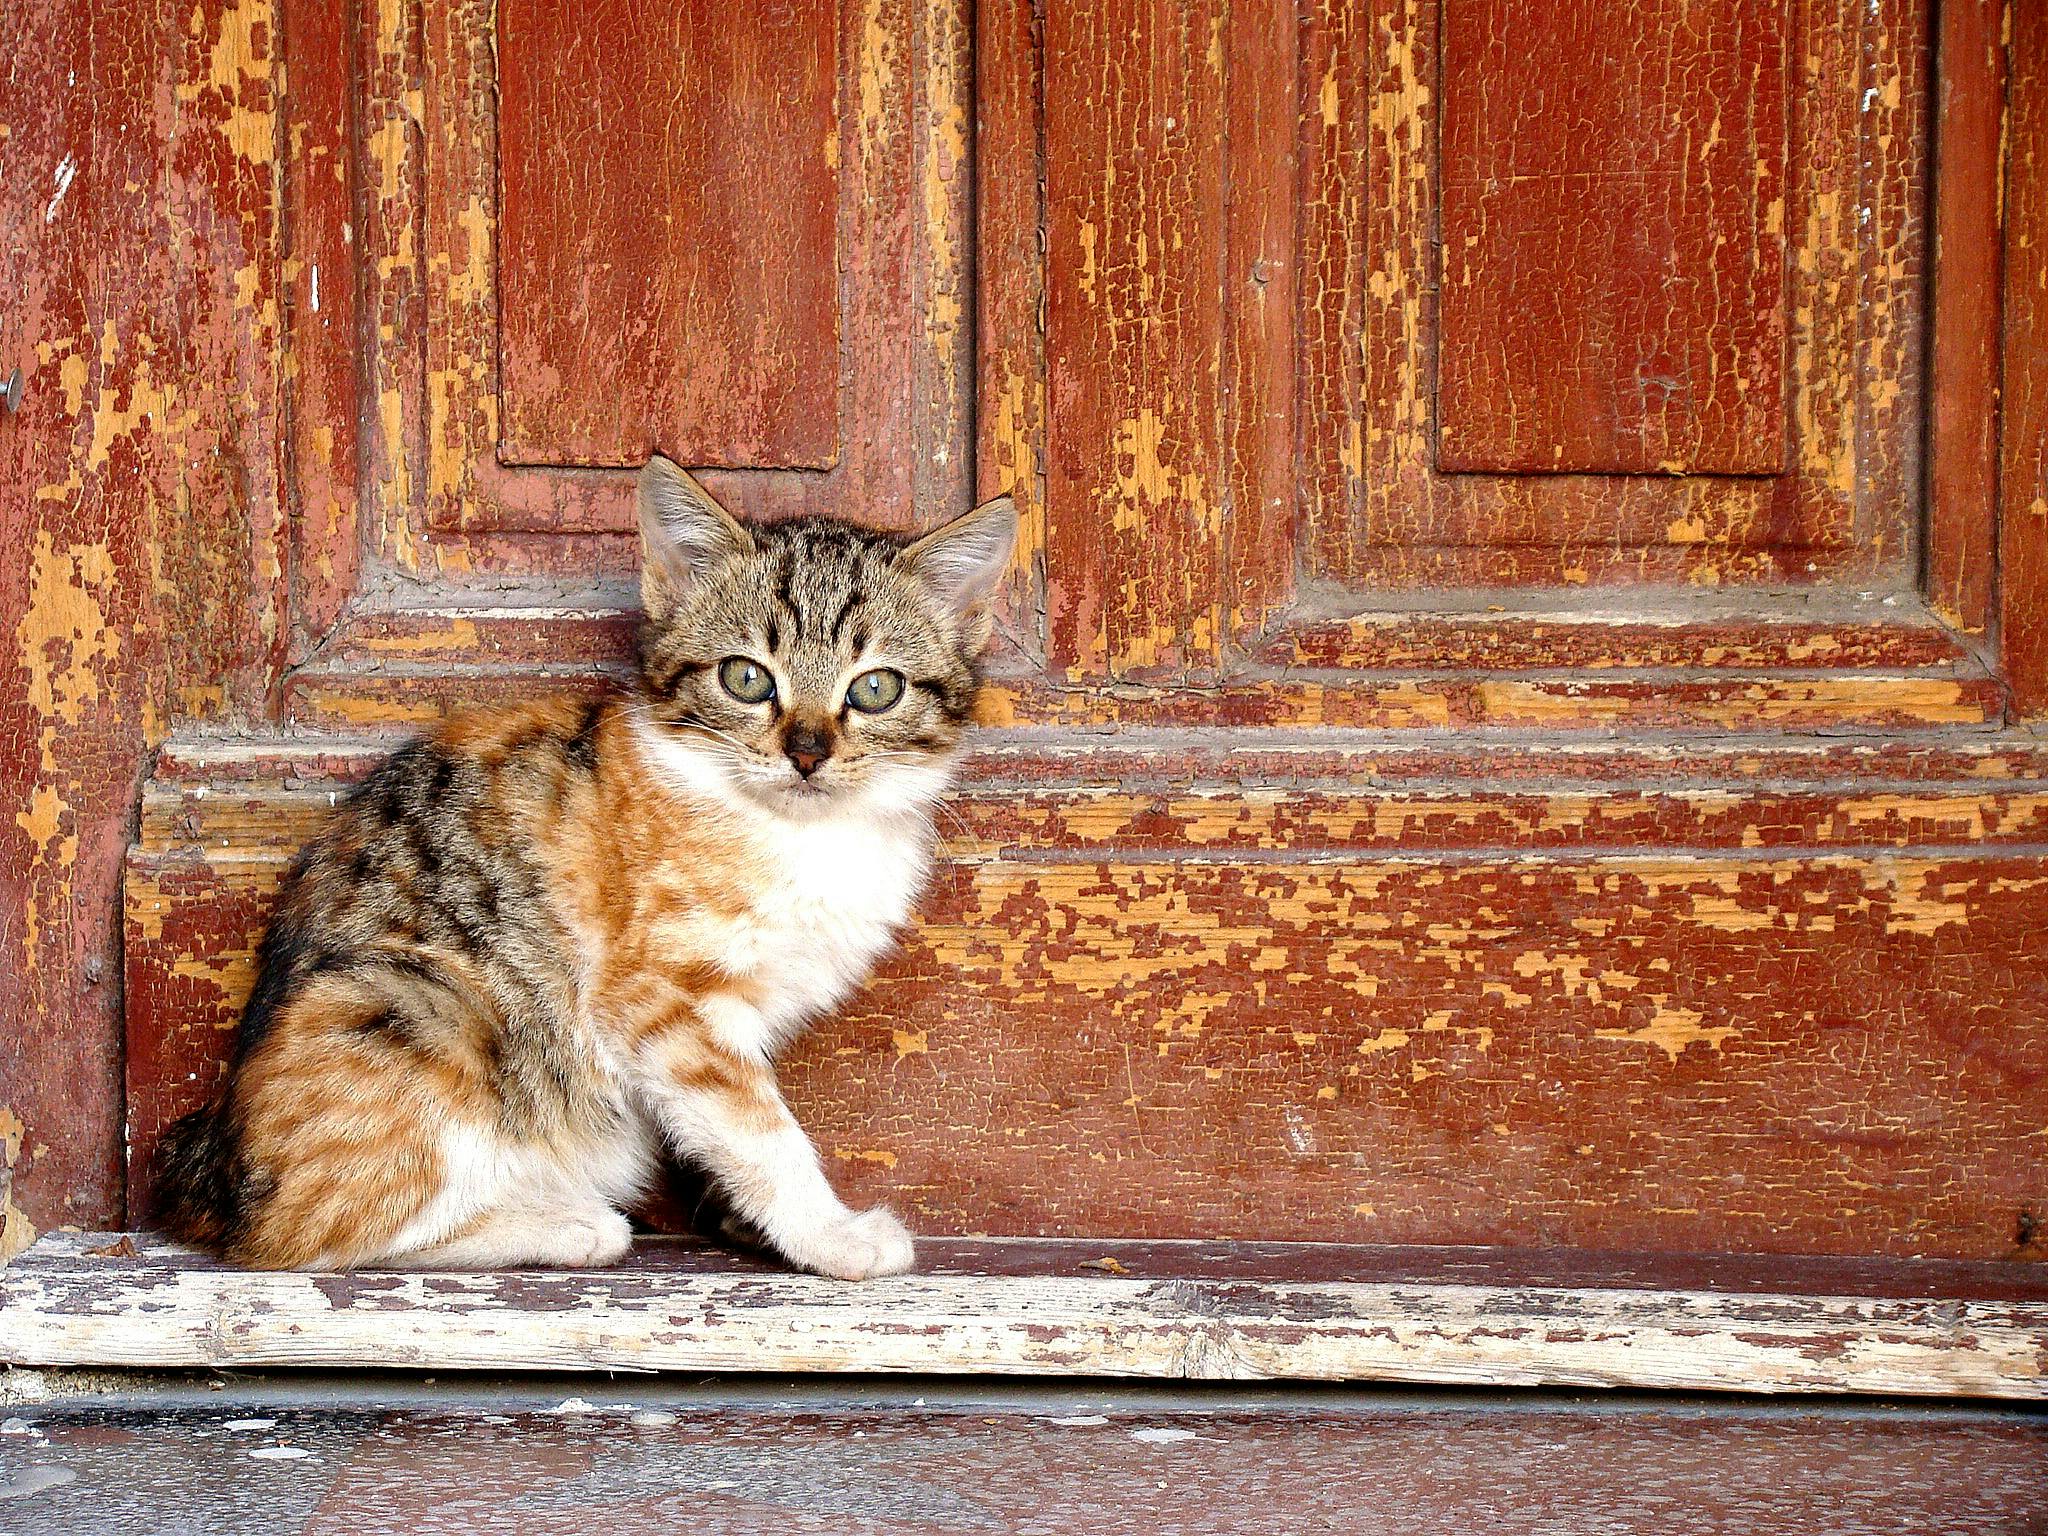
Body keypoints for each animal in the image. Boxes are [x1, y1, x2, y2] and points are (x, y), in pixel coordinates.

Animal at [155, 462, 1019, 1277]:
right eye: (746, 677)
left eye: (875, 688)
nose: (806, 752)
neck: (803, 832)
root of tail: (216, 1166)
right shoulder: (660, 1001)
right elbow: (759, 1128)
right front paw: (828, 1234)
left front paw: (742, 1220)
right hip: (417, 1009)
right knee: (307, 1233)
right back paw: (564, 1223)